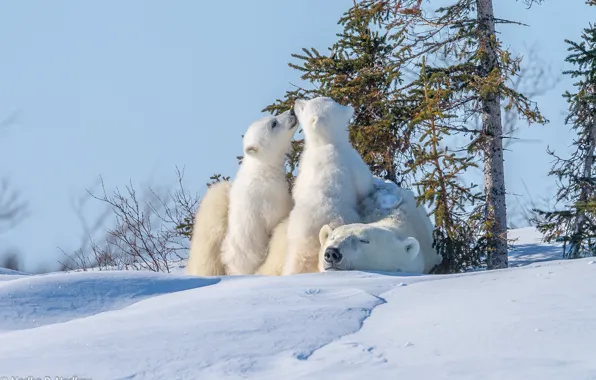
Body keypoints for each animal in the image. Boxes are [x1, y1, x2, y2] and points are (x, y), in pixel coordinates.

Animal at [186, 110, 298, 276]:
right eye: (273, 123)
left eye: (273, 117)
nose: (291, 112)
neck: (261, 169)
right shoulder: (269, 196)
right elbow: (277, 218)